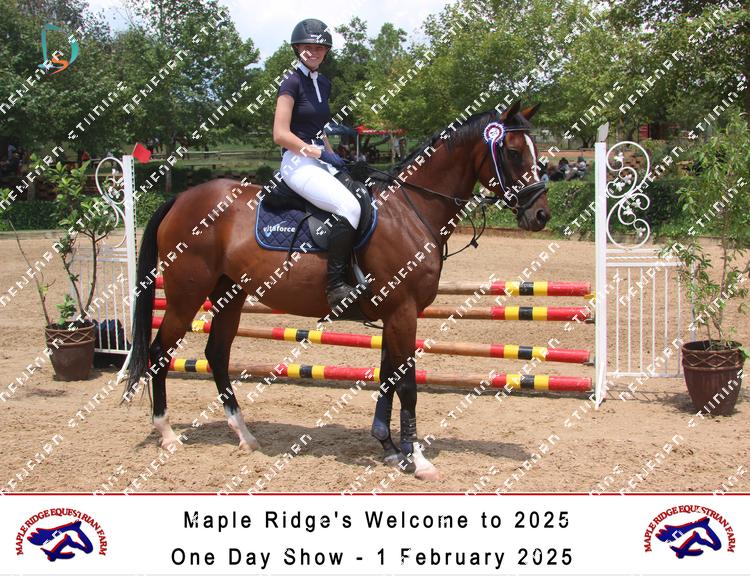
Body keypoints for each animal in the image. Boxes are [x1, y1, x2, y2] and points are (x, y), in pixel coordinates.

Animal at [124, 101, 550, 481]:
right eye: (513, 152)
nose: (541, 214)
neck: (411, 209)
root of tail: (182, 198)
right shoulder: (403, 312)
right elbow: (407, 385)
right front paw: (417, 459)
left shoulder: (394, 314)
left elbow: (387, 378)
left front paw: (389, 448)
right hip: (186, 295)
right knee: (160, 354)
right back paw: (167, 434)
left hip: (231, 293)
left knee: (216, 354)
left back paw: (244, 435)